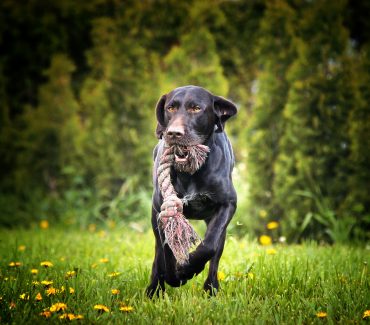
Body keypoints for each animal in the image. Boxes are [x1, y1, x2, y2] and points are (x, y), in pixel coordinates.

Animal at [147, 85, 237, 296]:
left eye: (196, 108)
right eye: (170, 108)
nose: (173, 133)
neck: (191, 173)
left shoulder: (228, 204)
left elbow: (209, 246)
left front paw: (188, 269)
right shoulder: (162, 210)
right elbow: (166, 251)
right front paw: (175, 276)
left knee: (215, 257)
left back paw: (211, 289)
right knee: (158, 255)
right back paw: (154, 290)